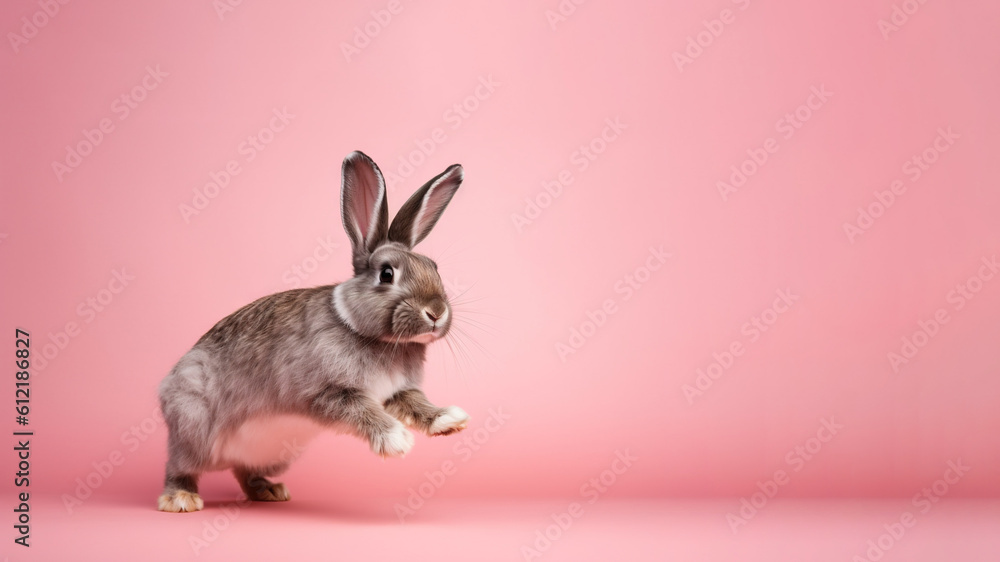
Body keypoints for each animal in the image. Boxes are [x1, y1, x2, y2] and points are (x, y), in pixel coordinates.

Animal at [157, 151, 470, 512]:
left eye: (434, 267)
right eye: (387, 274)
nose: (436, 312)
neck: (365, 331)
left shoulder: (398, 392)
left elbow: (418, 405)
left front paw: (449, 421)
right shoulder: (329, 392)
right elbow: (364, 412)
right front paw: (397, 440)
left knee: (243, 470)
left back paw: (270, 491)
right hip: (193, 428)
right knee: (180, 465)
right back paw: (181, 499)